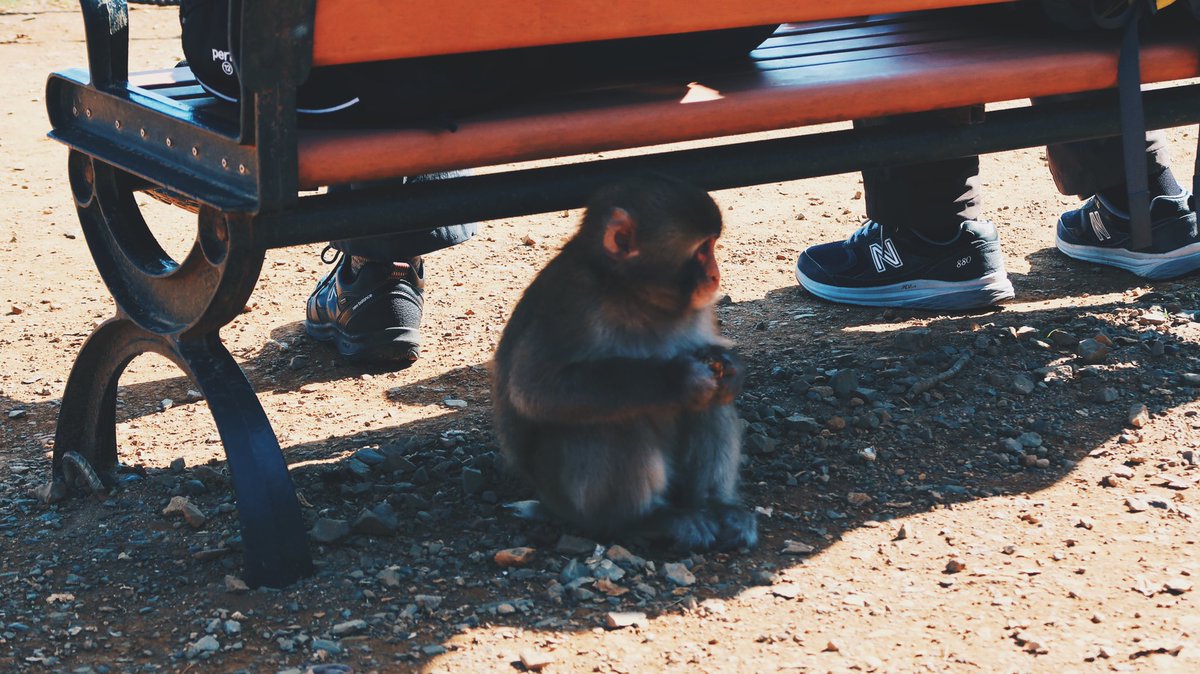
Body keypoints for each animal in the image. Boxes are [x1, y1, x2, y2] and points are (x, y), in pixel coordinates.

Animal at [492, 173, 757, 553]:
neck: (631, 292)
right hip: (567, 499)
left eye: (712, 246)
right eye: (702, 250)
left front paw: (729, 367)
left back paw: (716, 506)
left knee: (713, 403)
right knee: (612, 420)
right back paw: (644, 520)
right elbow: (536, 388)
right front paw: (680, 378)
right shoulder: (573, 306)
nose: (714, 276)